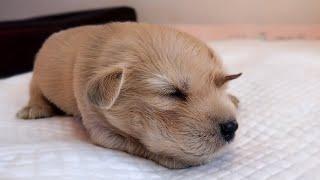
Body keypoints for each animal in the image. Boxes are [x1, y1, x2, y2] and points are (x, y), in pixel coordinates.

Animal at [16, 22, 241, 169]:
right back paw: (34, 108)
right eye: (173, 93)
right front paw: (177, 158)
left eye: (220, 85)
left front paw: (231, 98)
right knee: (34, 89)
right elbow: (136, 143)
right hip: (37, 74)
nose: (231, 127)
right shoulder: (99, 126)